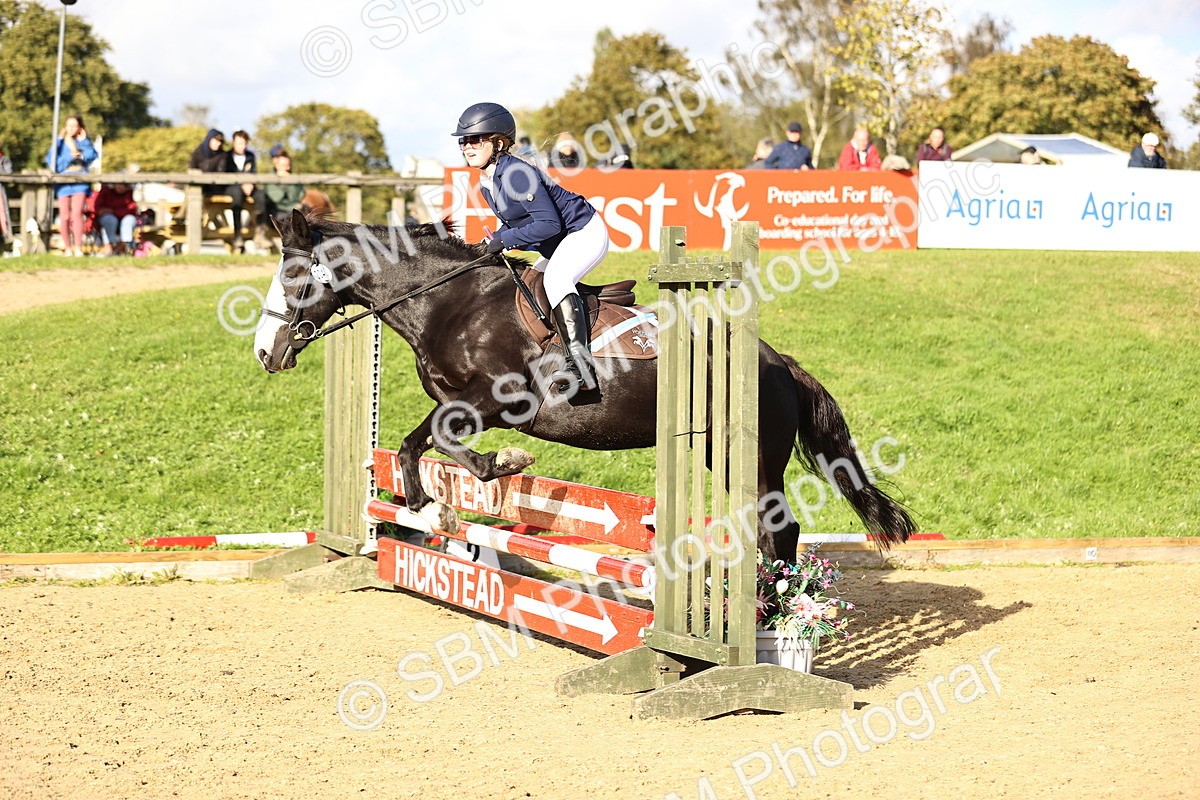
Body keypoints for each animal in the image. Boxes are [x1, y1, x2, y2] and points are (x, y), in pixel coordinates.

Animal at [254, 209, 914, 562]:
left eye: (292, 278)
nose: (265, 353)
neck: (450, 303)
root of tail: (778, 362)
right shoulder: (455, 403)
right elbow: (418, 443)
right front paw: (429, 508)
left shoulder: (499, 403)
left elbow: (450, 444)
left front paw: (505, 464)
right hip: (714, 451)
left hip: (752, 458)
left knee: (780, 530)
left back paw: (772, 619)